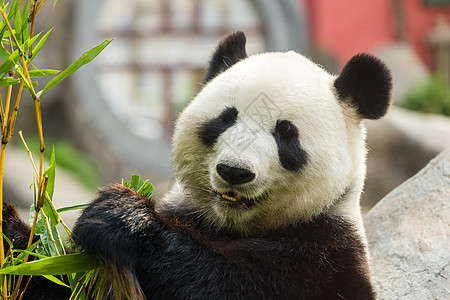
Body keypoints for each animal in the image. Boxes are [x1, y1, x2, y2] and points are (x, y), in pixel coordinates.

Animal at [2, 31, 390, 298]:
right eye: (226, 118)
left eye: (285, 132)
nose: (234, 171)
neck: (229, 227)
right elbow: (52, 278)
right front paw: (11, 230)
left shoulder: (325, 256)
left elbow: (224, 282)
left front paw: (122, 217)